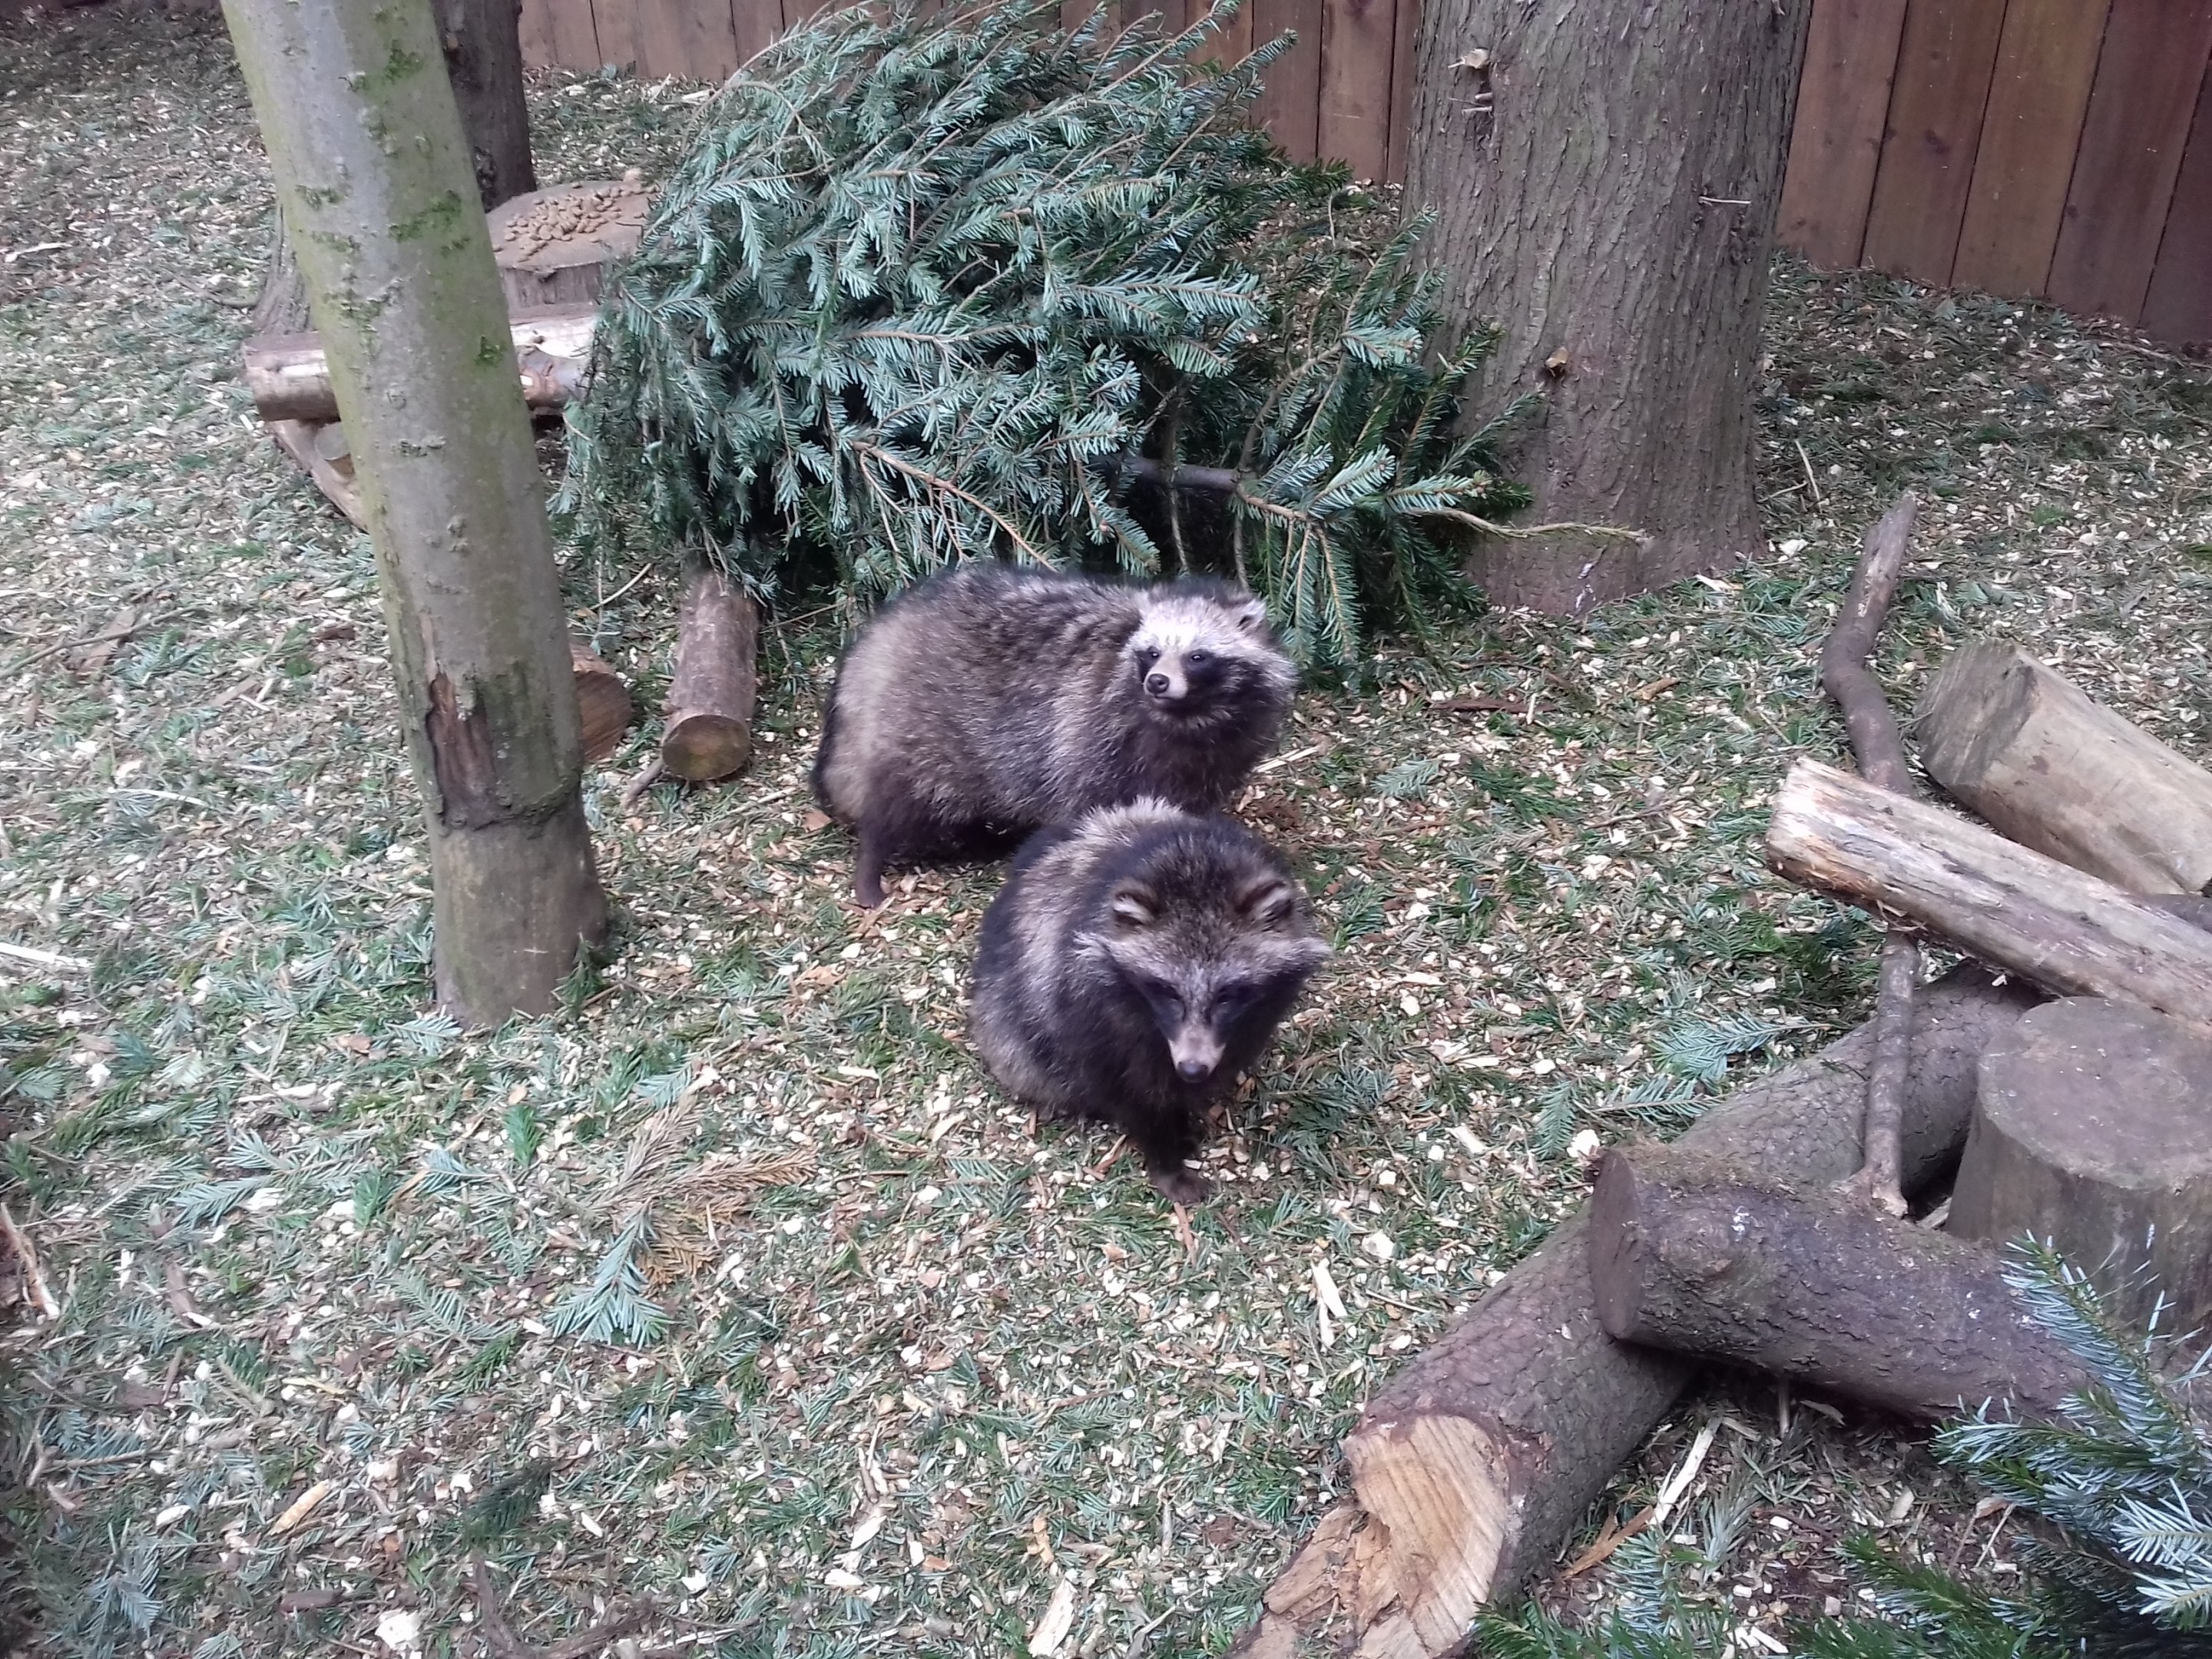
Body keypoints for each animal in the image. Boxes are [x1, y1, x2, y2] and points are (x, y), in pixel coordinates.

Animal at [811, 562, 1296, 906]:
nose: (1157, 682)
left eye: (1197, 656)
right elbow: (1091, 808)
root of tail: (886, 631)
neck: (1188, 718)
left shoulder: (1221, 750)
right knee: (900, 799)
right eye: (1153, 652)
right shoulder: (1092, 733)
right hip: (923, 729)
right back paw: (873, 861)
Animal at [970, 800, 1331, 1204]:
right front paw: (1165, 1155)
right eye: (1167, 991)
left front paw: (1187, 1107)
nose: (1193, 1069)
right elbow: (1126, 1088)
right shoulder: (1083, 1005)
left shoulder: (1256, 1014)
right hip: (1011, 1025)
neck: (1192, 858)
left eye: (1227, 995)